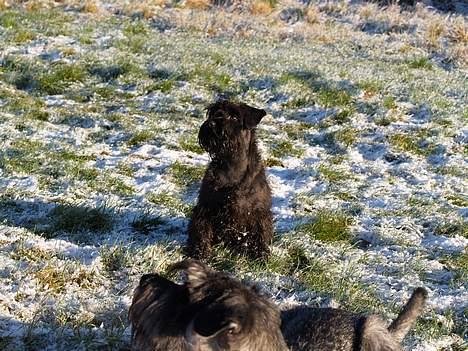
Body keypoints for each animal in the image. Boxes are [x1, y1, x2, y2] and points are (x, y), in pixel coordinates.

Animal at [186, 100, 274, 260]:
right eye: (213, 111)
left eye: (235, 116)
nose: (212, 123)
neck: (231, 165)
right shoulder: (205, 208)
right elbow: (202, 231)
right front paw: (200, 252)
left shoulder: (260, 212)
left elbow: (261, 233)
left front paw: (261, 253)